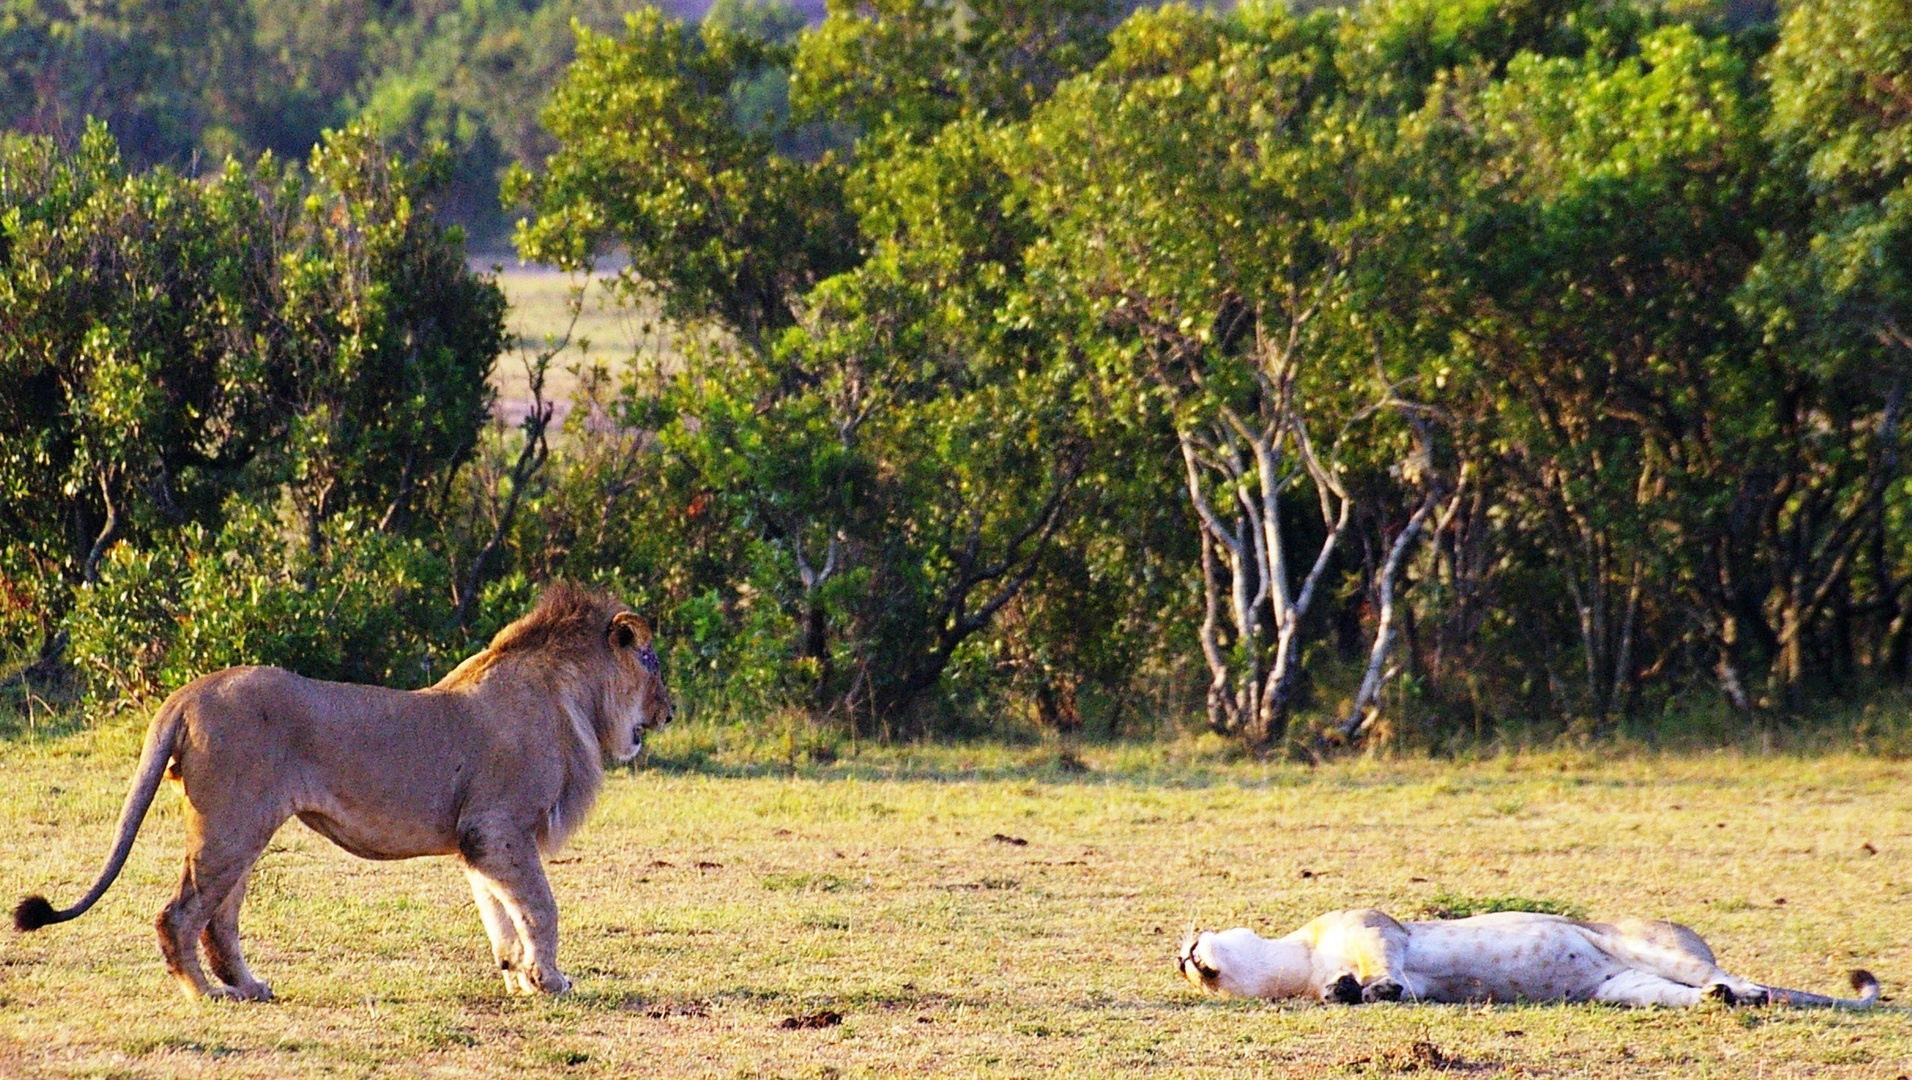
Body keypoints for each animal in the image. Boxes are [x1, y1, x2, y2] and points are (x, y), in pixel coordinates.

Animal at [13, 584, 673, 1001]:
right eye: (653, 662)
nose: (670, 711)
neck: (574, 701)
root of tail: (188, 694)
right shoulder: (499, 829)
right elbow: (539, 907)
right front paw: (552, 982)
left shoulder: (480, 843)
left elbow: (500, 917)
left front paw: (519, 979)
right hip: (230, 826)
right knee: (178, 915)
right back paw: (205, 994)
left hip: (241, 831)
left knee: (218, 922)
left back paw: (249, 987)